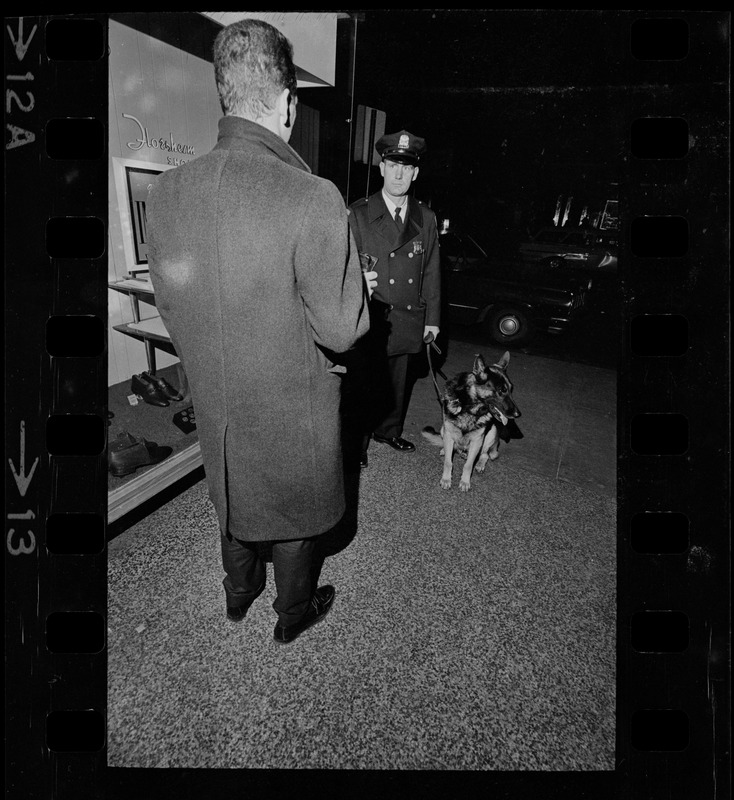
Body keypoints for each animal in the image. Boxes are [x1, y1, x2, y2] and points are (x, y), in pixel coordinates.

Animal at [420, 352, 524, 490]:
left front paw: (465, 481)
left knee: (485, 454)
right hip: (444, 429)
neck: (469, 407)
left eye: (511, 390)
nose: (518, 414)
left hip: (491, 433)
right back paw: (447, 450)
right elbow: (448, 462)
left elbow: (468, 465)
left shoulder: (477, 440)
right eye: (501, 390)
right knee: (453, 448)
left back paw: (479, 464)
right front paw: (446, 479)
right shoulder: (449, 433)